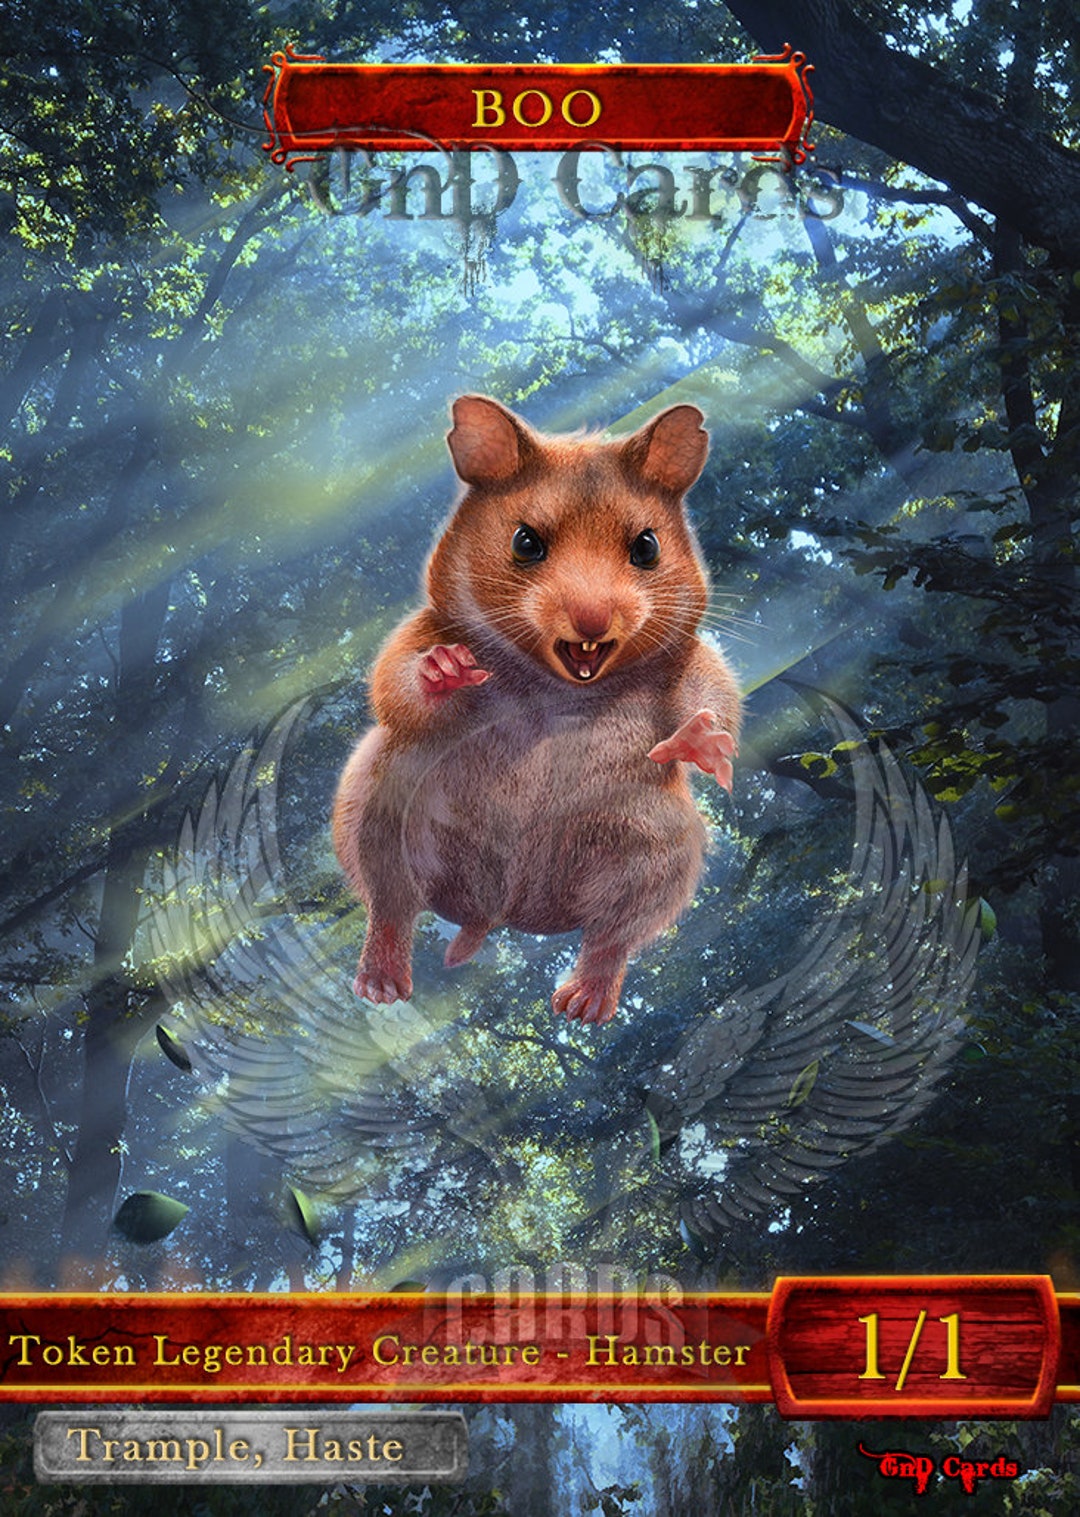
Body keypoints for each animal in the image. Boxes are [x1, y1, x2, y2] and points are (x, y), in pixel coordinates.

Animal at [331, 394, 741, 1026]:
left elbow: (713, 697)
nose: (592, 622)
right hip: (380, 801)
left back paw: (582, 1003)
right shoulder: (422, 632)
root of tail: (503, 910)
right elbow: (396, 680)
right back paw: (381, 984)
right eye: (525, 543)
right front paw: (448, 669)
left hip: (658, 845)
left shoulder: (691, 661)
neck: (561, 684)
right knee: (391, 905)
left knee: (612, 936)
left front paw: (699, 744)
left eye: (646, 547)